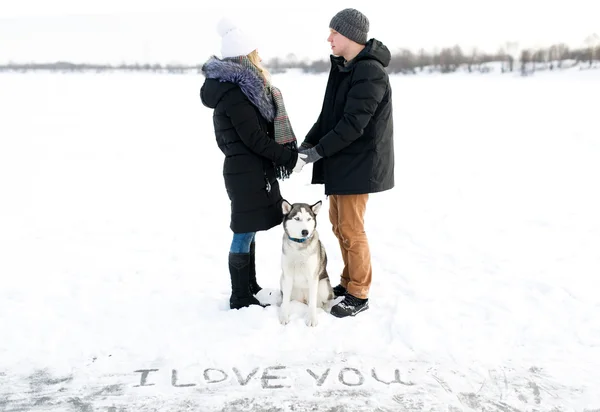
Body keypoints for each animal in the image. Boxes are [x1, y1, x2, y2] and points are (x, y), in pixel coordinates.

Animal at [280, 198, 336, 326]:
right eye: (297, 218)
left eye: (309, 219)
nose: (305, 231)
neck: (299, 247)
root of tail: (304, 298)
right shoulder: (287, 276)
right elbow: (285, 301)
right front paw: (284, 317)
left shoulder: (313, 277)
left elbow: (313, 304)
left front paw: (312, 319)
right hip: (282, 280)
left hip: (323, 285)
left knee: (323, 301)